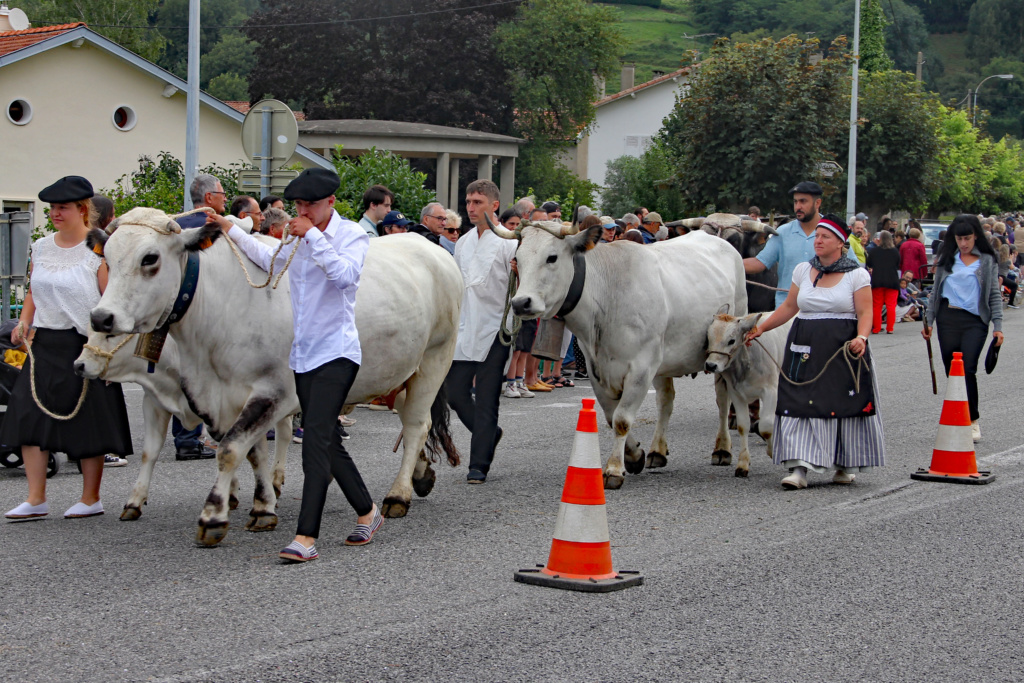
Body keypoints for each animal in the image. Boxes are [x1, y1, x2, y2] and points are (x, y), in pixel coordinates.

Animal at [74, 335, 292, 524]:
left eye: (111, 334)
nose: (78, 365)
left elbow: (248, 451)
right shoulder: (153, 402)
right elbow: (149, 453)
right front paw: (134, 502)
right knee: (284, 431)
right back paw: (274, 480)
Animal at [491, 216, 749, 489]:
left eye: (552, 257)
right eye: (517, 259)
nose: (520, 303)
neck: (607, 296)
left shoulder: (641, 367)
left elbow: (622, 419)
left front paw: (614, 468)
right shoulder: (596, 368)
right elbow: (609, 415)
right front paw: (635, 455)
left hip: (722, 355)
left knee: (722, 400)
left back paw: (722, 449)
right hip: (665, 359)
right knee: (665, 401)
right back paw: (657, 451)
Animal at [704, 313, 790, 479]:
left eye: (731, 340)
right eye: (708, 338)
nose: (710, 365)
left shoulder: (771, 391)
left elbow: (766, 426)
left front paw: (772, 451)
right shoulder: (736, 394)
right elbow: (743, 426)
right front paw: (743, 464)